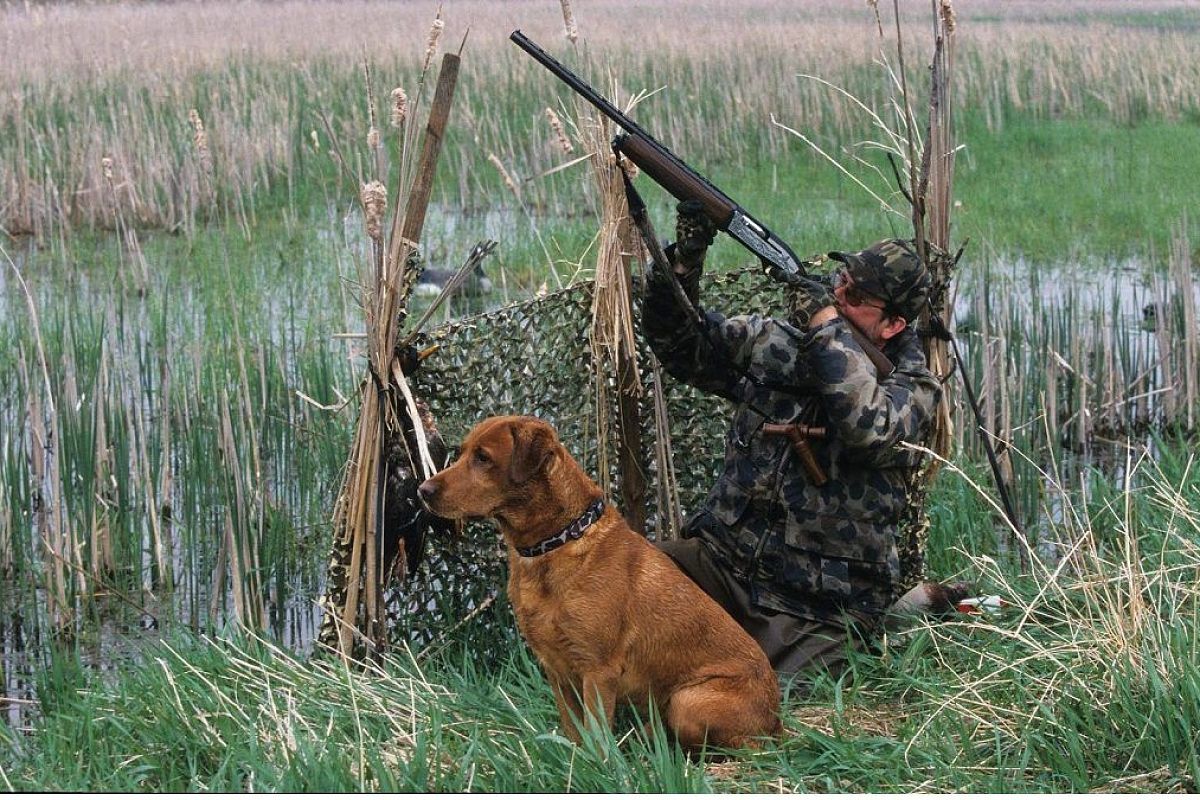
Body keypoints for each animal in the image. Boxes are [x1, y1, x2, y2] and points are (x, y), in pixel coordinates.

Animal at [417, 412, 782, 753]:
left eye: (483, 458)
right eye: (462, 452)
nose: (422, 491)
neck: (555, 543)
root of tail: (776, 718)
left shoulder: (598, 670)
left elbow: (598, 736)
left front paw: (603, 767)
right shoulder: (556, 669)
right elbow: (574, 731)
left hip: (688, 702)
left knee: (743, 746)